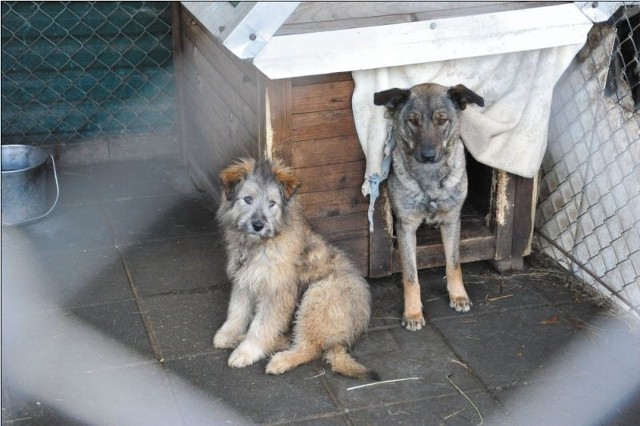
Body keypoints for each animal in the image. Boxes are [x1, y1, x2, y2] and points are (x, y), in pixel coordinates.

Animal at [372, 82, 482, 330]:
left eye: (442, 120)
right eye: (413, 121)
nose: (428, 155)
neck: (430, 178)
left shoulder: (452, 220)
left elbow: (454, 264)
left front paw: (458, 296)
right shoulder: (406, 227)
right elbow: (411, 276)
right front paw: (413, 313)